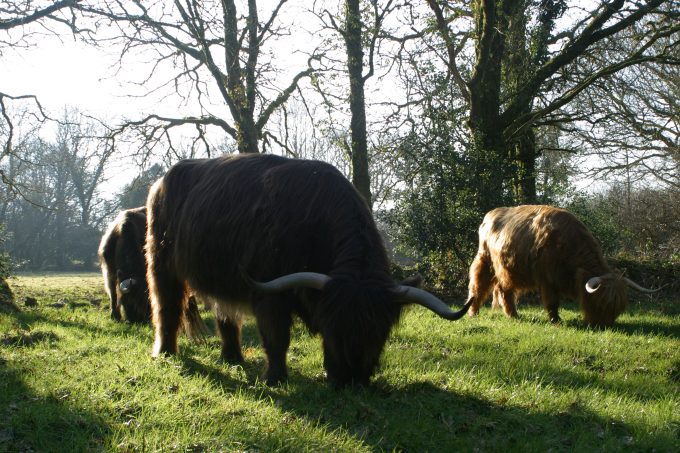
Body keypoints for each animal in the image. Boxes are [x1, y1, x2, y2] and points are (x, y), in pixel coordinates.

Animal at [145, 153, 471, 386]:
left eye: (379, 330)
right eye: (333, 326)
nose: (352, 377)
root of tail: (162, 181)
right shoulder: (270, 292)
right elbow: (277, 337)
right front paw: (274, 379)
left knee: (224, 312)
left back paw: (233, 357)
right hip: (161, 261)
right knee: (166, 306)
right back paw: (165, 352)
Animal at [466, 205, 657, 327]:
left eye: (619, 306)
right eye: (601, 302)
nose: (605, 325)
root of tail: (490, 215)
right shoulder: (546, 278)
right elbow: (552, 302)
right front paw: (555, 321)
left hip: (508, 270)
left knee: (504, 289)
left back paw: (512, 314)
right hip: (485, 260)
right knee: (478, 286)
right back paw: (473, 312)